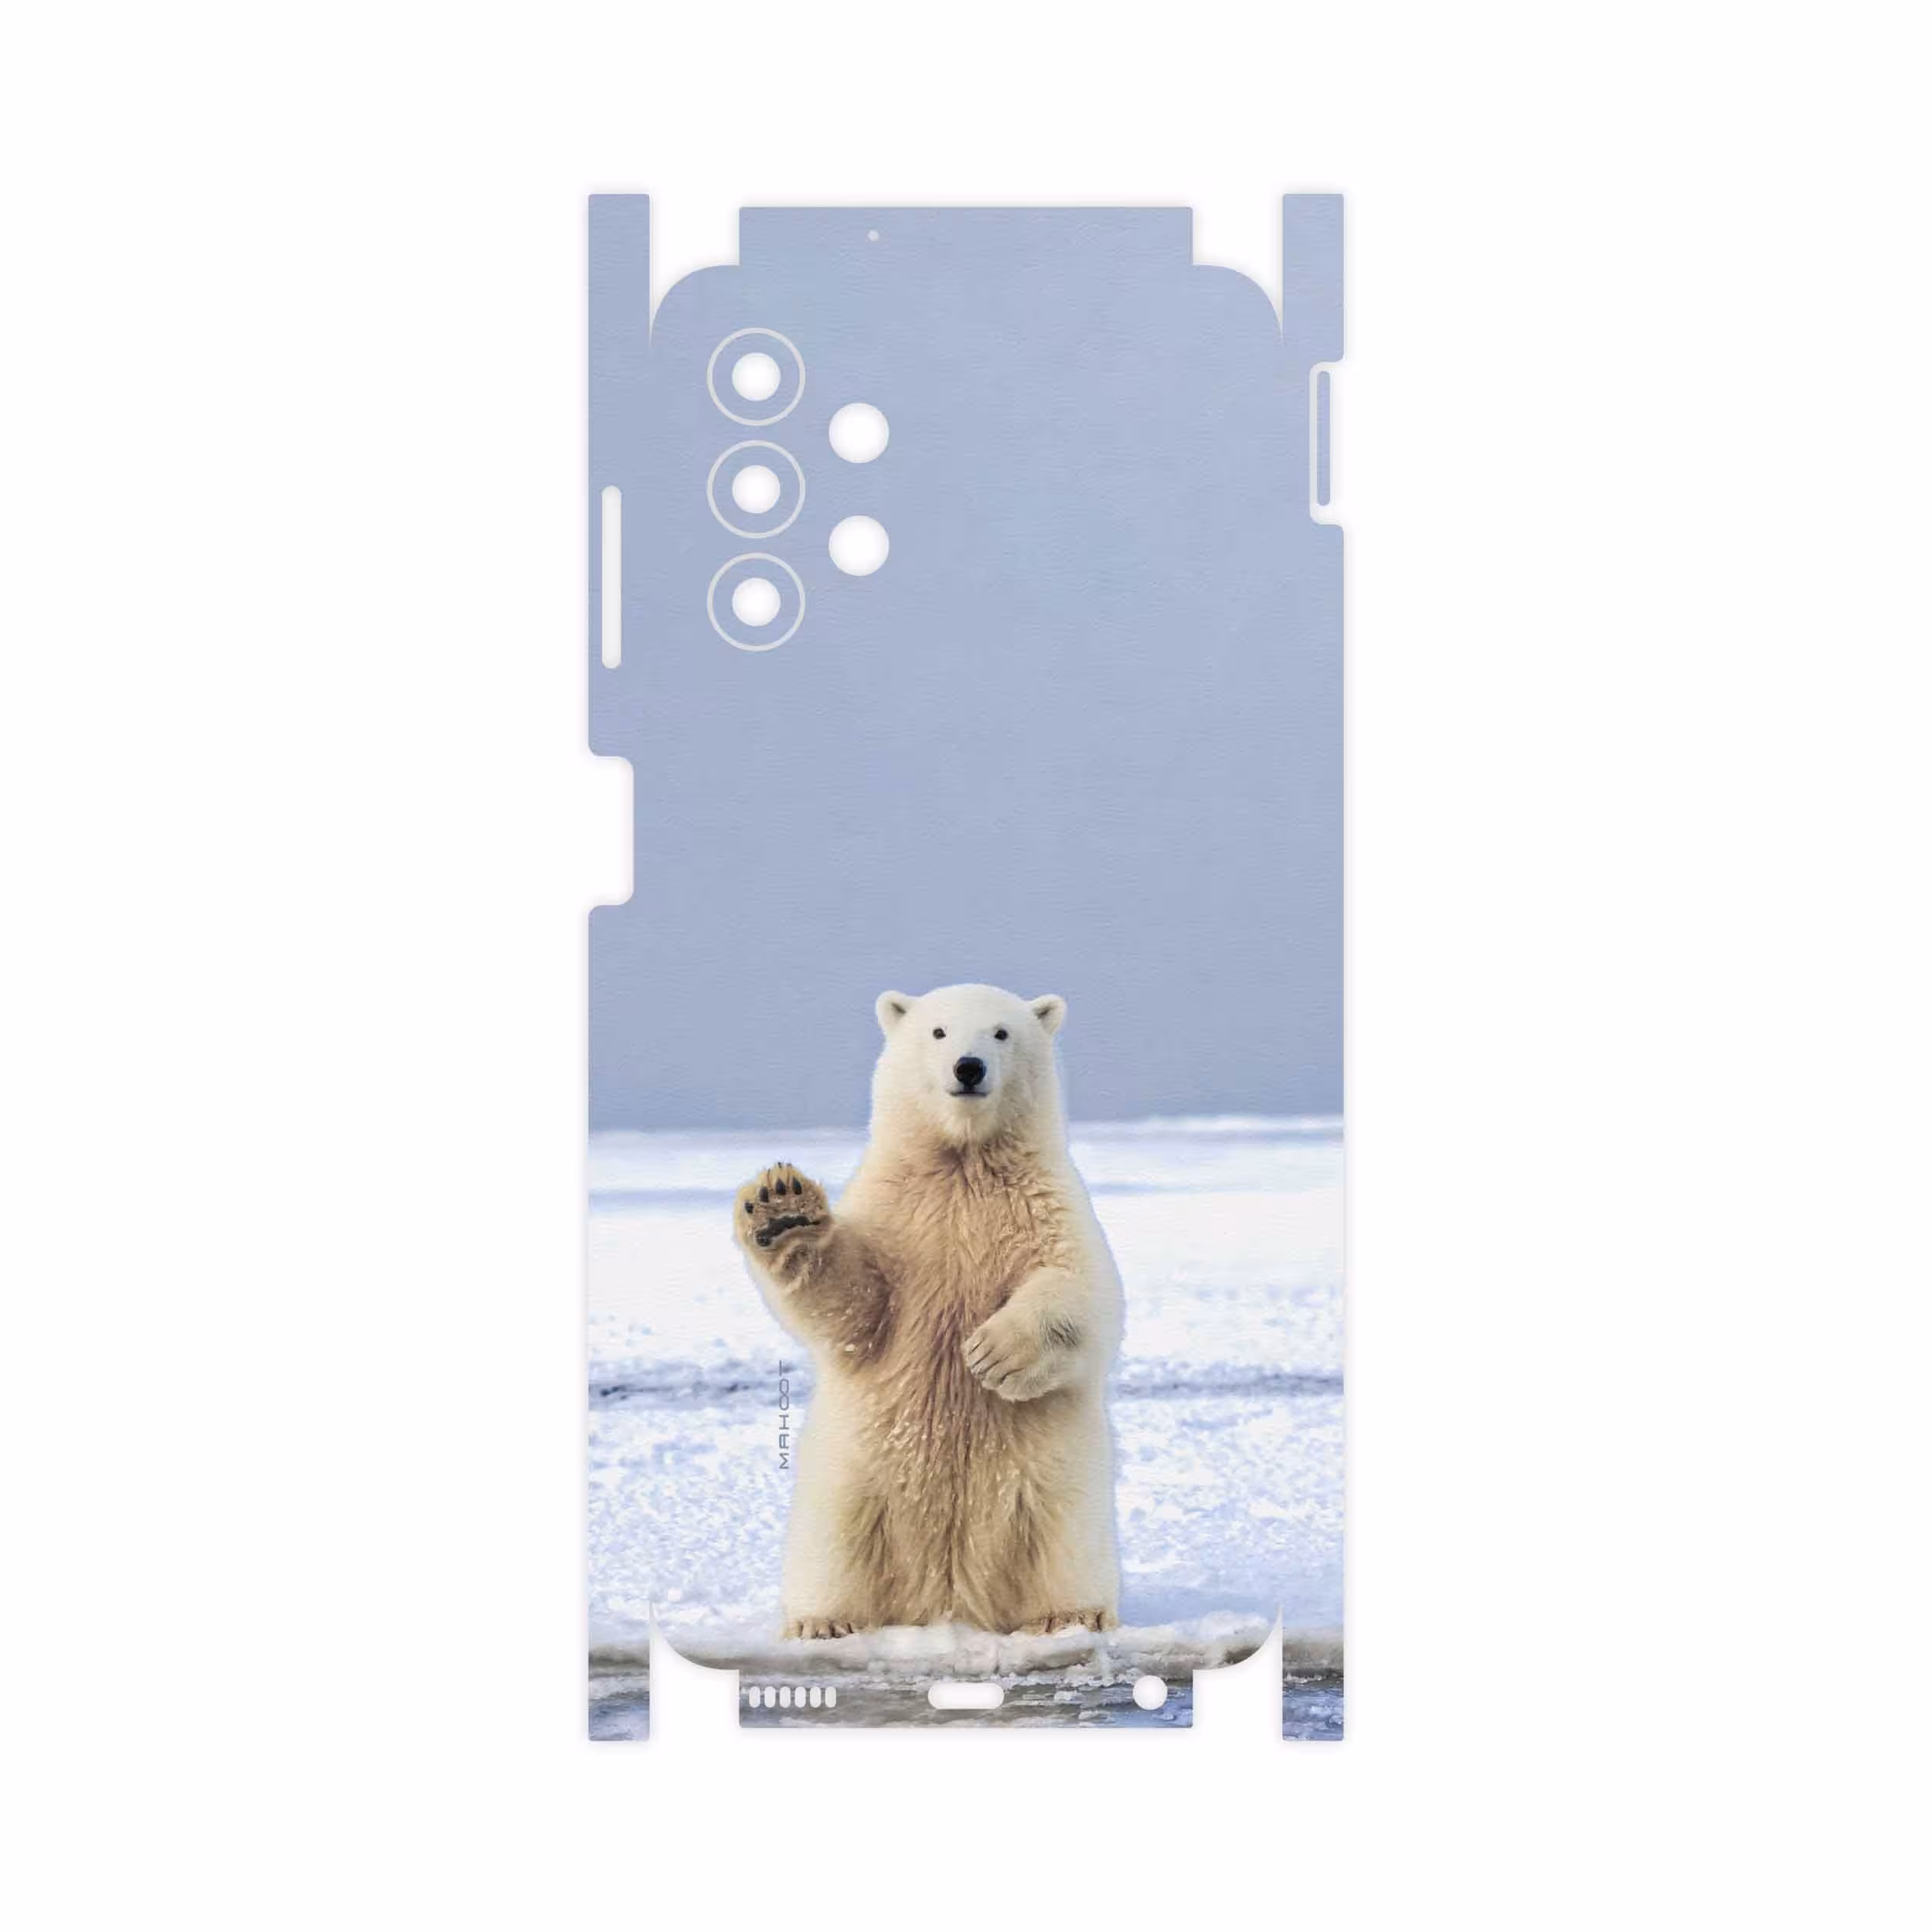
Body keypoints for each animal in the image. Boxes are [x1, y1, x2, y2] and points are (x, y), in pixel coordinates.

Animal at [733, 983, 1123, 1639]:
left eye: (1001, 1033)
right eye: (939, 1031)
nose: (968, 1068)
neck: (963, 1162)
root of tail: (947, 1600)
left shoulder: (1046, 1205)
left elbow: (1082, 1290)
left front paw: (992, 1353)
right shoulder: (898, 1214)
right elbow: (856, 1305)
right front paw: (782, 1209)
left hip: (1055, 1485)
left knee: (1065, 1541)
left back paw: (1070, 1615)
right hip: (852, 1480)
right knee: (835, 1546)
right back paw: (822, 1621)